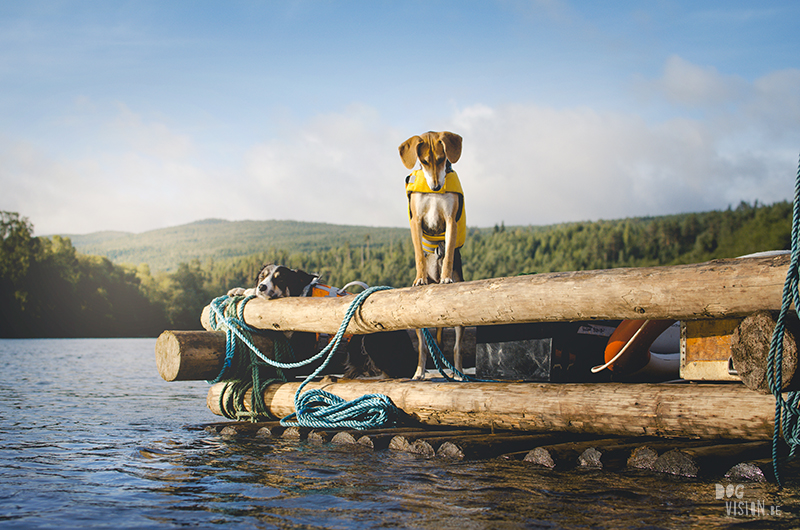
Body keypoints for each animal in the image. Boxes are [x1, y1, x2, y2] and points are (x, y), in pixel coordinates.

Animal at [225, 262, 412, 378]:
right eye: (262, 277)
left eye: (280, 279)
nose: (262, 286)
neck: (300, 294)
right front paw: (240, 290)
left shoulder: (299, 346)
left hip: (370, 338)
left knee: (390, 373)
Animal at [398, 132, 466, 380]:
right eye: (425, 161)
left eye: (441, 158)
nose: (436, 187)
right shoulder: (416, 220)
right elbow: (419, 253)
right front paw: (420, 278)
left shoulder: (450, 220)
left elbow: (447, 254)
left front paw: (446, 277)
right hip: (418, 322)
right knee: (423, 347)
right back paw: (419, 372)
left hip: (460, 323)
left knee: (456, 348)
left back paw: (459, 373)